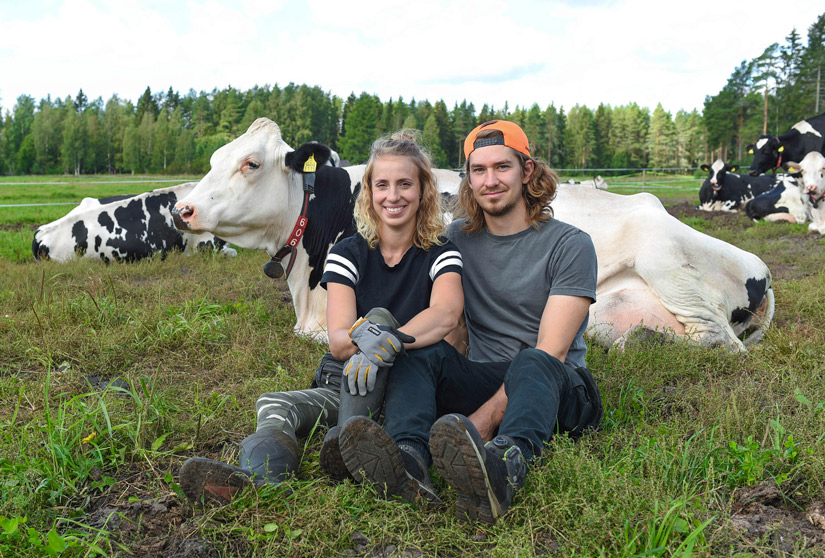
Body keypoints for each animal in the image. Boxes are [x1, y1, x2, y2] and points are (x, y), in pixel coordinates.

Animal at [172, 118, 772, 352]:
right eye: (214, 158)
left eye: (250, 163)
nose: (182, 208)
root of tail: (762, 272)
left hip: (666, 261)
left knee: (722, 341)